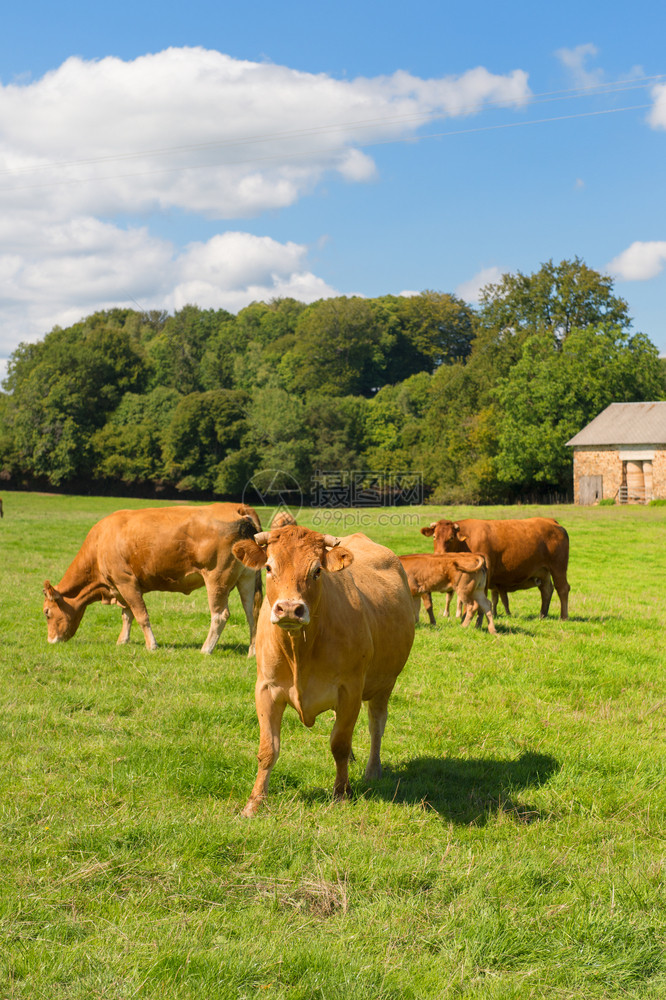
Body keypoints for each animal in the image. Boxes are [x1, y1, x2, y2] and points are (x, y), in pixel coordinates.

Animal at [41, 500, 262, 656]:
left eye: (46, 612)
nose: (50, 641)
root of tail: (237, 507)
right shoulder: (121, 587)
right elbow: (127, 614)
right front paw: (123, 641)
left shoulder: (126, 581)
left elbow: (141, 615)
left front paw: (152, 645)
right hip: (247, 577)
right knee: (252, 613)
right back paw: (252, 652)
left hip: (217, 578)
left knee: (220, 615)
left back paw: (206, 649)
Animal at [231, 524, 412, 812]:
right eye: (269, 567)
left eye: (317, 571)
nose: (289, 609)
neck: (300, 651)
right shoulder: (266, 688)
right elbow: (268, 748)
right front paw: (255, 802)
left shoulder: (350, 689)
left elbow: (339, 744)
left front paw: (342, 793)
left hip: (385, 682)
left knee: (376, 723)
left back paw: (373, 770)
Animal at [418, 516, 568, 616]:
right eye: (434, 537)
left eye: (451, 538)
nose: (439, 555)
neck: (465, 543)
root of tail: (551, 521)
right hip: (543, 571)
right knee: (546, 590)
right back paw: (542, 614)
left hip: (558, 567)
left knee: (562, 589)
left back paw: (563, 617)